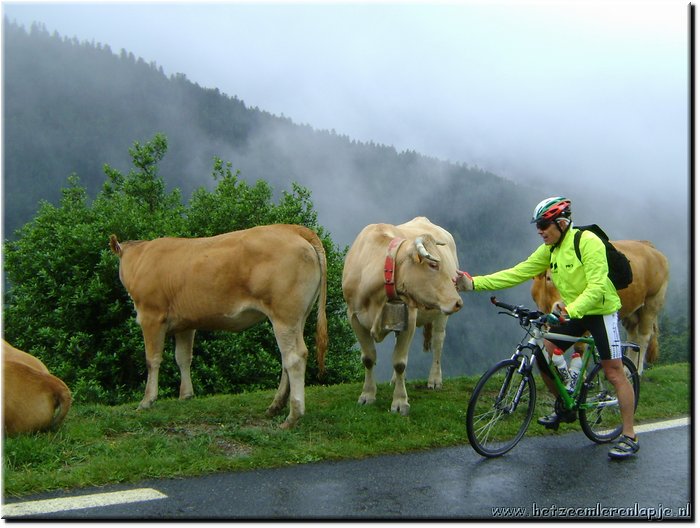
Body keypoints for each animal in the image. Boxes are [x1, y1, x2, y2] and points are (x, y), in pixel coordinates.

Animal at [109, 224, 328, 428]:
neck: (141, 258)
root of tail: (292, 228)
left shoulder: (151, 316)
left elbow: (152, 359)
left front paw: (147, 401)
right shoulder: (186, 324)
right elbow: (183, 358)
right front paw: (186, 395)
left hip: (284, 315)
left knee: (294, 357)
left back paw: (292, 416)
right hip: (297, 317)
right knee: (287, 358)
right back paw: (275, 406)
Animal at [342, 217, 468, 414]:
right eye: (433, 264)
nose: (458, 302)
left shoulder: (410, 318)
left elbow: (400, 362)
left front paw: (400, 402)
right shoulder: (354, 317)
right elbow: (368, 358)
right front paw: (367, 395)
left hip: (441, 314)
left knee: (438, 342)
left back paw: (434, 380)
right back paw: (395, 380)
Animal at [532, 239, 668, 372]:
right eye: (549, 278)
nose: (563, 307)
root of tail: (646, 244)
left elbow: (579, 347)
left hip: (652, 301)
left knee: (643, 337)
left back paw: (637, 370)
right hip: (633, 309)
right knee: (633, 337)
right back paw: (627, 370)